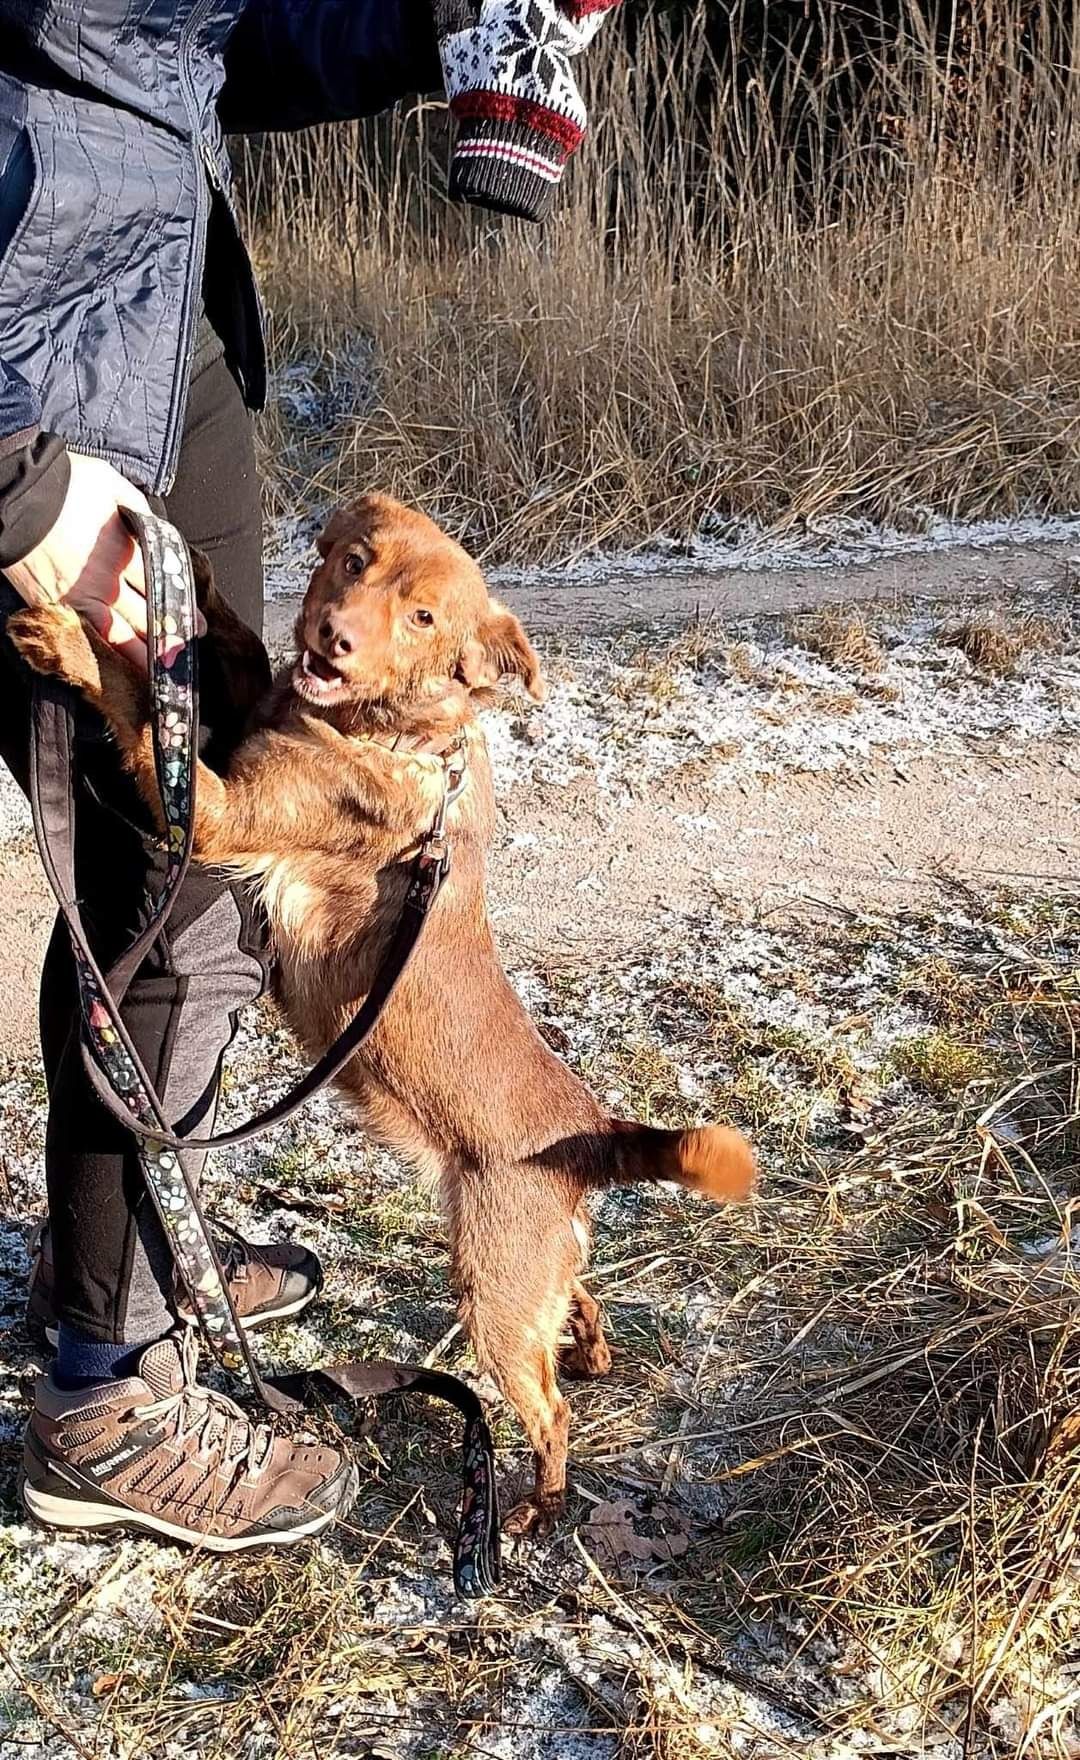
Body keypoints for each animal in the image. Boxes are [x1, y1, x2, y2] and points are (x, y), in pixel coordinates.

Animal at [8, 499, 756, 1541]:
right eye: (355, 562)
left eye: (426, 618)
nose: (334, 637)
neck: (386, 729)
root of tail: (596, 1137)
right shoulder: (253, 712)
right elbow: (232, 648)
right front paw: (184, 573)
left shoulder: (220, 813)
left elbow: (140, 708)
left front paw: (74, 640)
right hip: (531, 1269)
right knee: (577, 1301)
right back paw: (592, 1350)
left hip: (490, 1287)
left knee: (549, 1408)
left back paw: (535, 1505)